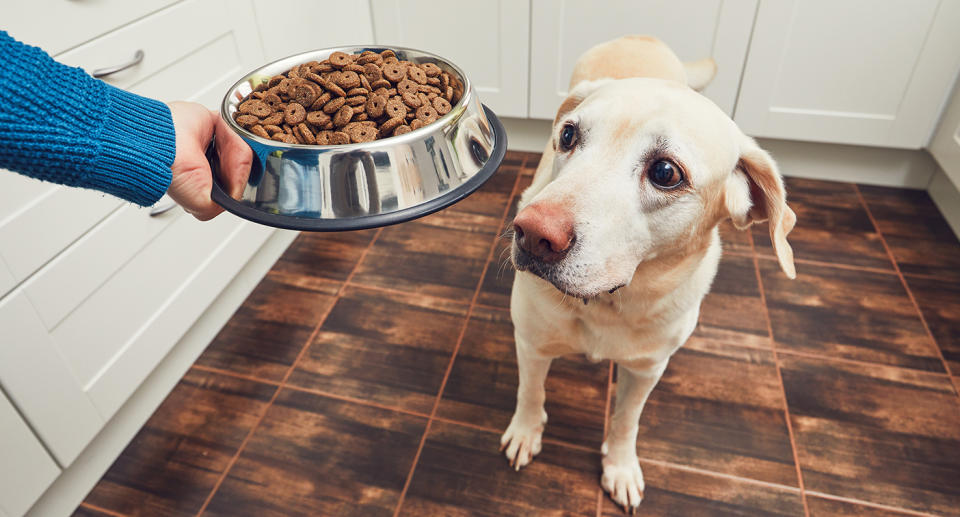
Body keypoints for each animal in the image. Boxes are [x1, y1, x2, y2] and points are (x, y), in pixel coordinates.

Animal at [502, 36, 796, 512]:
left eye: (665, 172)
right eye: (568, 135)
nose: (530, 234)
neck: (607, 303)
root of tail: (641, 37)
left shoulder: (646, 370)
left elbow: (626, 420)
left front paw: (620, 467)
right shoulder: (531, 342)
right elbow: (531, 393)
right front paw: (526, 432)